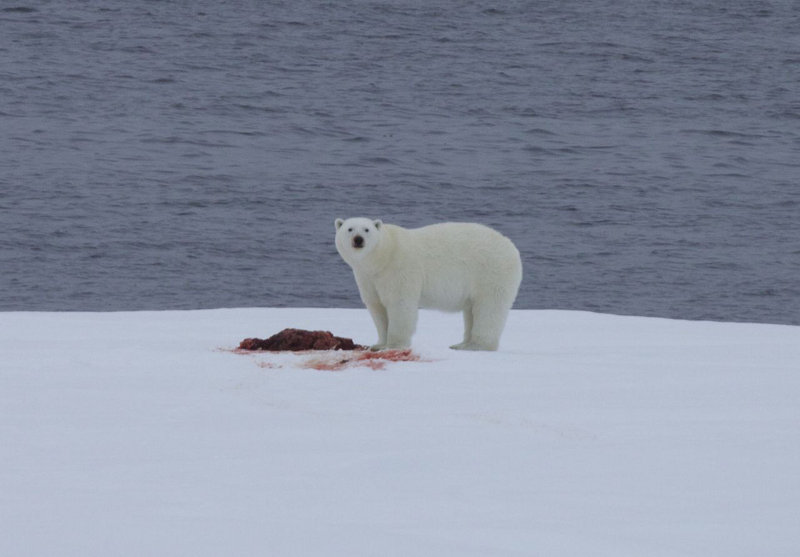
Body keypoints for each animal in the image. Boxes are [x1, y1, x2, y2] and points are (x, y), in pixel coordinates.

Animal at [334, 216, 520, 350]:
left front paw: (393, 345)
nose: (358, 239)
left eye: (367, 229)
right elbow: (377, 307)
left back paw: (476, 345)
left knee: (488, 308)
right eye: (349, 229)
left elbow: (400, 304)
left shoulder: (399, 269)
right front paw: (378, 344)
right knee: (471, 311)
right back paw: (461, 344)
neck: (383, 256)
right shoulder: (368, 278)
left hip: (490, 273)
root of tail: (512, 247)